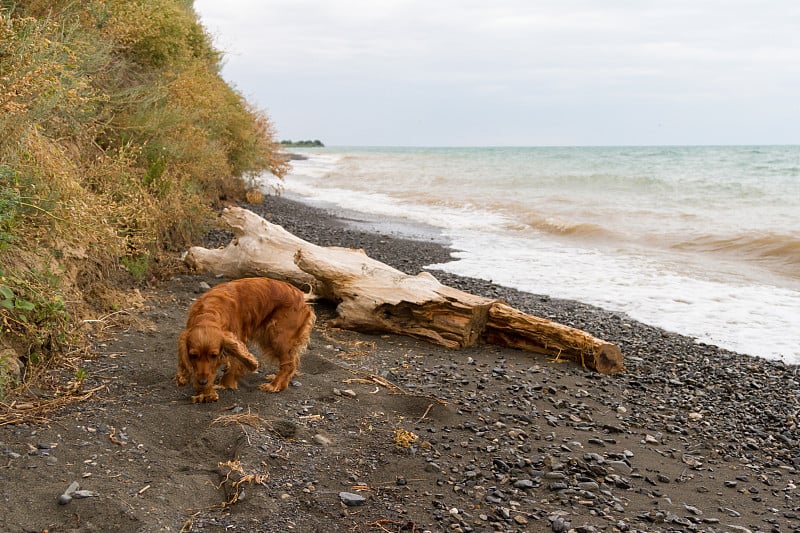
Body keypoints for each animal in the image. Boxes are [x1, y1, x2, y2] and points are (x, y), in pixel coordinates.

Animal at [175, 276, 316, 402]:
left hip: (278, 337)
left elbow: (234, 363)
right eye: (193, 355)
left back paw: (274, 385)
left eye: (213, 355)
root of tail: (301, 295)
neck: (209, 313)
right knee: (293, 360)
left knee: (289, 364)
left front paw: (223, 385)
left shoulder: (237, 338)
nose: (202, 382)